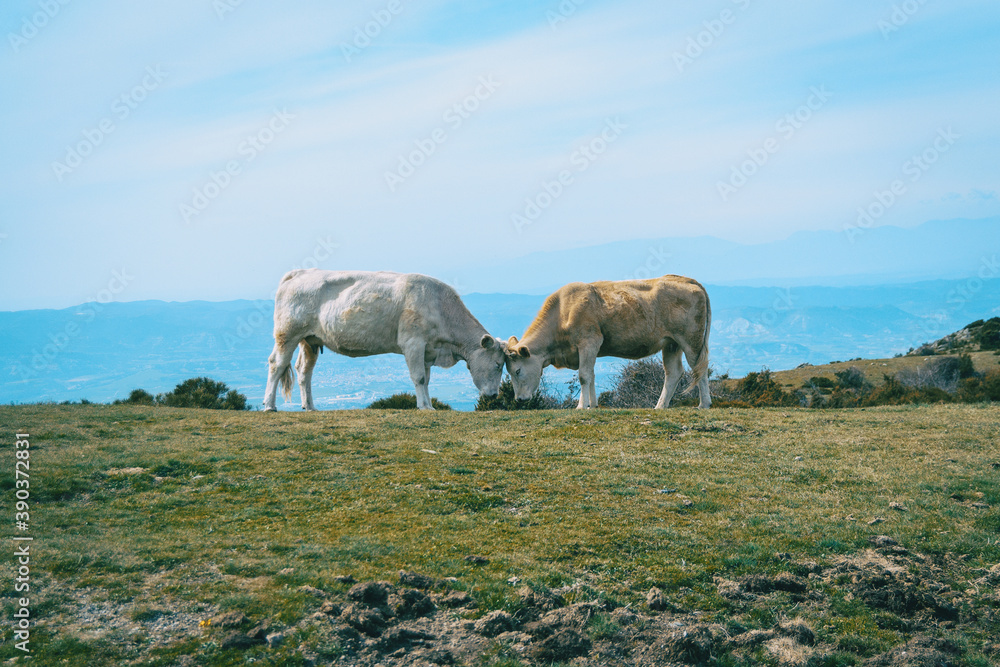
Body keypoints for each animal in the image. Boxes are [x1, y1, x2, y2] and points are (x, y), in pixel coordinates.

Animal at [264, 270, 508, 408]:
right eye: (498, 365)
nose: (494, 395)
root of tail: (299, 272)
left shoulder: (427, 349)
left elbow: (427, 380)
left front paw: (429, 404)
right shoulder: (413, 343)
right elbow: (419, 378)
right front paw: (424, 407)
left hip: (310, 340)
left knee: (304, 371)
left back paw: (310, 407)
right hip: (287, 333)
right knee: (277, 364)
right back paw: (269, 405)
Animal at [508, 274, 712, 410]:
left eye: (517, 371)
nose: (519, 399)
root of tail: (686, 279)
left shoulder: (589, 341)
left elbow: (584, 375)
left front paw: (581, 407)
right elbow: (591, 375)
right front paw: (592, 405)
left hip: (691, 340)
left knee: (698, 368)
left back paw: (704, 404)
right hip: (671, 343)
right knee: (673, 372)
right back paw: (660, 406)